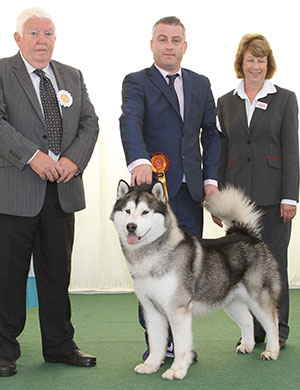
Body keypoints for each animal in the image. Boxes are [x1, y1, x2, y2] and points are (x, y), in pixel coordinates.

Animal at [110, 181, 282, 380]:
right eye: (127, 211)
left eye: (145, 212)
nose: (131, 226)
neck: (151, 256)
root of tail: (247, 234)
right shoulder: (151, 310)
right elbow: (155, 342)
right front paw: (152, 364)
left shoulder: (178, 310)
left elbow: (181, 346)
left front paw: (177, 370)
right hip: (231, 301)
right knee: (247, 320)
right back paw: (247, 345)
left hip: (259, 297)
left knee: (272, 324)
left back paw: (272, 351)